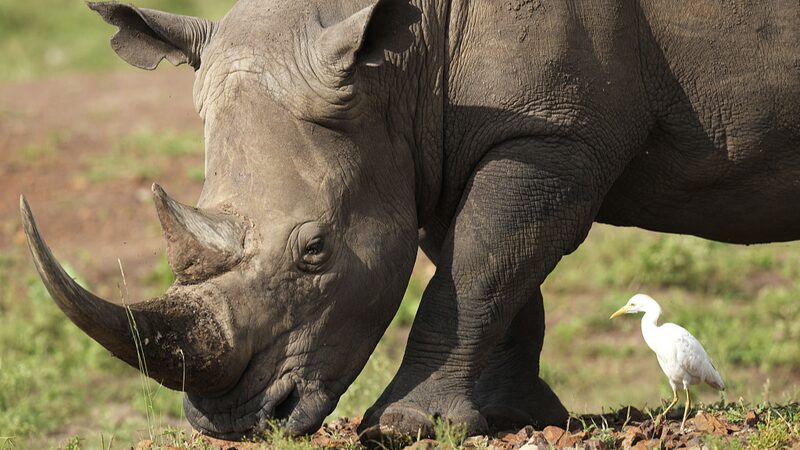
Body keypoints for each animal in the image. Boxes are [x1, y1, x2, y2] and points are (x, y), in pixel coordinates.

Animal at [20, 0, 799, 441]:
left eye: (315, 250)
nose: (234, 425)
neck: (402, 62)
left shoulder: (553, 133)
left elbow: (480, 262)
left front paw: (401, 425)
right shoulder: (436, 135)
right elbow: (492, 269)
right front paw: (512, 417)